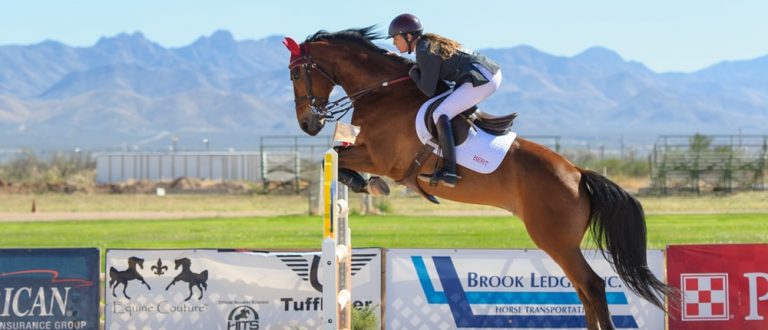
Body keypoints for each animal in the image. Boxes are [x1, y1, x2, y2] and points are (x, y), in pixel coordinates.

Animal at [284, 27, 672, 328]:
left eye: (294, 75)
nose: (307, 123)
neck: (383, 91)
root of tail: (577, 174)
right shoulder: (368, 150)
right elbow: (337, 156)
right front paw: (365, 183)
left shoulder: (384, 158)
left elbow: (336, 159)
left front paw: (367, 183)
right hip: (562, 243)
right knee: (582, 289)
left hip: (554, 239)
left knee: (591, 286)